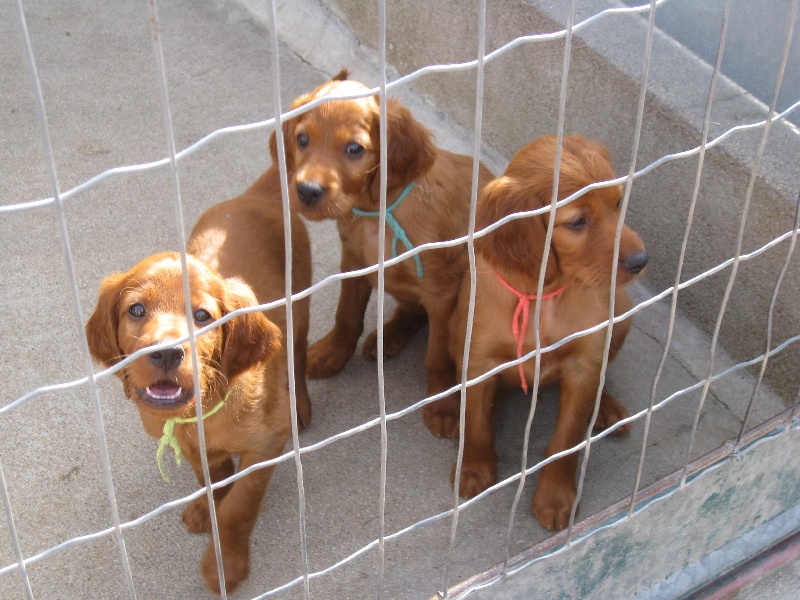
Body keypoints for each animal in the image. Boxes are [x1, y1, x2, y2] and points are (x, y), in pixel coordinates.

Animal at [86, 171, 310, 592]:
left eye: (204, 316)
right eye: (136, 310)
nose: (166, 353)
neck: (203, 409)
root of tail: (255, 194)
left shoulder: (268, 442)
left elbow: (239, 504)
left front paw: (226, 564)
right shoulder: (189, 443)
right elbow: (213, 479)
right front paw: (207, 511)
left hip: (298, 303)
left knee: (299, 353)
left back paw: (302, 405)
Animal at [272, 70, 490, 426]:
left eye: (354, 149)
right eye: (302, 140)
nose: (307, 191)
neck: (378, 211)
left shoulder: (442, 292)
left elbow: (439, 354)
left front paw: (443, 406)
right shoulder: (353, 260)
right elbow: (347, 315)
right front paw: (332, 353)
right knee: (412, 311)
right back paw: (387, 337)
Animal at [446, 135, 648, 528]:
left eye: (619, 203)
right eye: (578, 221)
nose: (640, 261)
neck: (542, 295)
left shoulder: (583, 365)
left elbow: (566, 440)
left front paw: (555, 496)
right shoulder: (478, 358)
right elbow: (475, 421)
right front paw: (474, 468)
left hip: (622, 313)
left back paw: (607, 409)